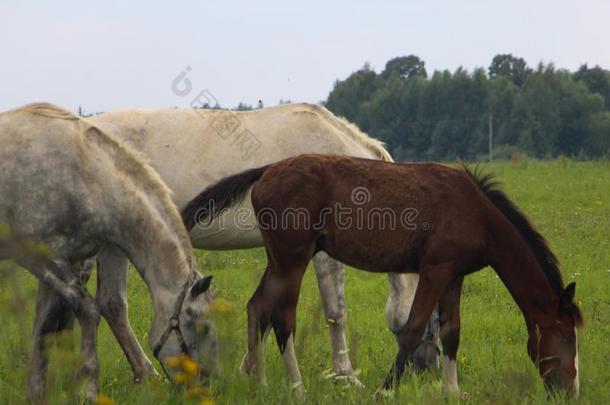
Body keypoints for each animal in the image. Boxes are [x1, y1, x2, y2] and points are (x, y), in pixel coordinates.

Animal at [0, 102, 217, 400]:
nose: (205, 385)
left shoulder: (67, 261)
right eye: (200, 324)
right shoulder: (42, 257)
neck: (85, 174)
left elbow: (45, 325)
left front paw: (36, 392)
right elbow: (87, 310)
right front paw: (88, 386)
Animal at [32, 101, 436, 386]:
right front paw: (346, 375)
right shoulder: (322, 255)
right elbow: (335, 311)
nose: (426, 371)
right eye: (432, 318)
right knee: (111, 305)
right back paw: (146, 372)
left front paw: (249, 370)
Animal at [183, 154, 580, 394]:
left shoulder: (454, 275)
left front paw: (452, 390)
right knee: (282, 319)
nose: (570, 390)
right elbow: (413, 329)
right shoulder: (434, 270)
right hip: (292, 260)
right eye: (566, 336)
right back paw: (296, 387)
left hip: (278, 260)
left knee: (258, 308)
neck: (477, 212)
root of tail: (266, 171)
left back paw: (260, 384)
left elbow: (451, 332)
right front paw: (385, 389)